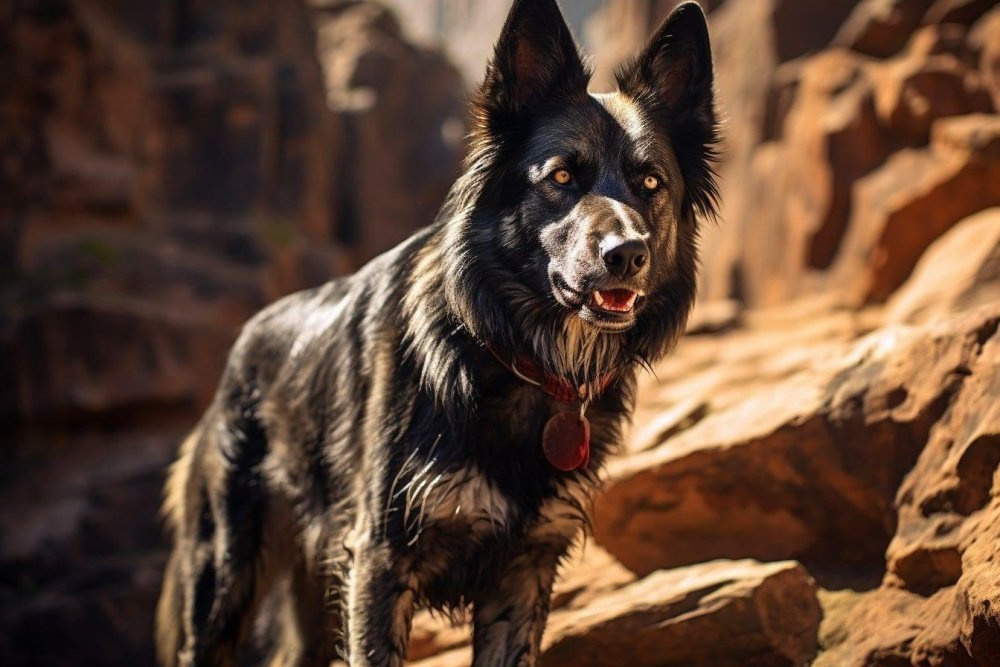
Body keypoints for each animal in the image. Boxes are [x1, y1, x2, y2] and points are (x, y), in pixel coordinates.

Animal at [155, 0, 718, 664]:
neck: (512, 358)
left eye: (651, 183)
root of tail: (242, 349)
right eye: (560, 178)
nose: (627, 254)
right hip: (224, 578)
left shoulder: (523, 572)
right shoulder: (379, 563)